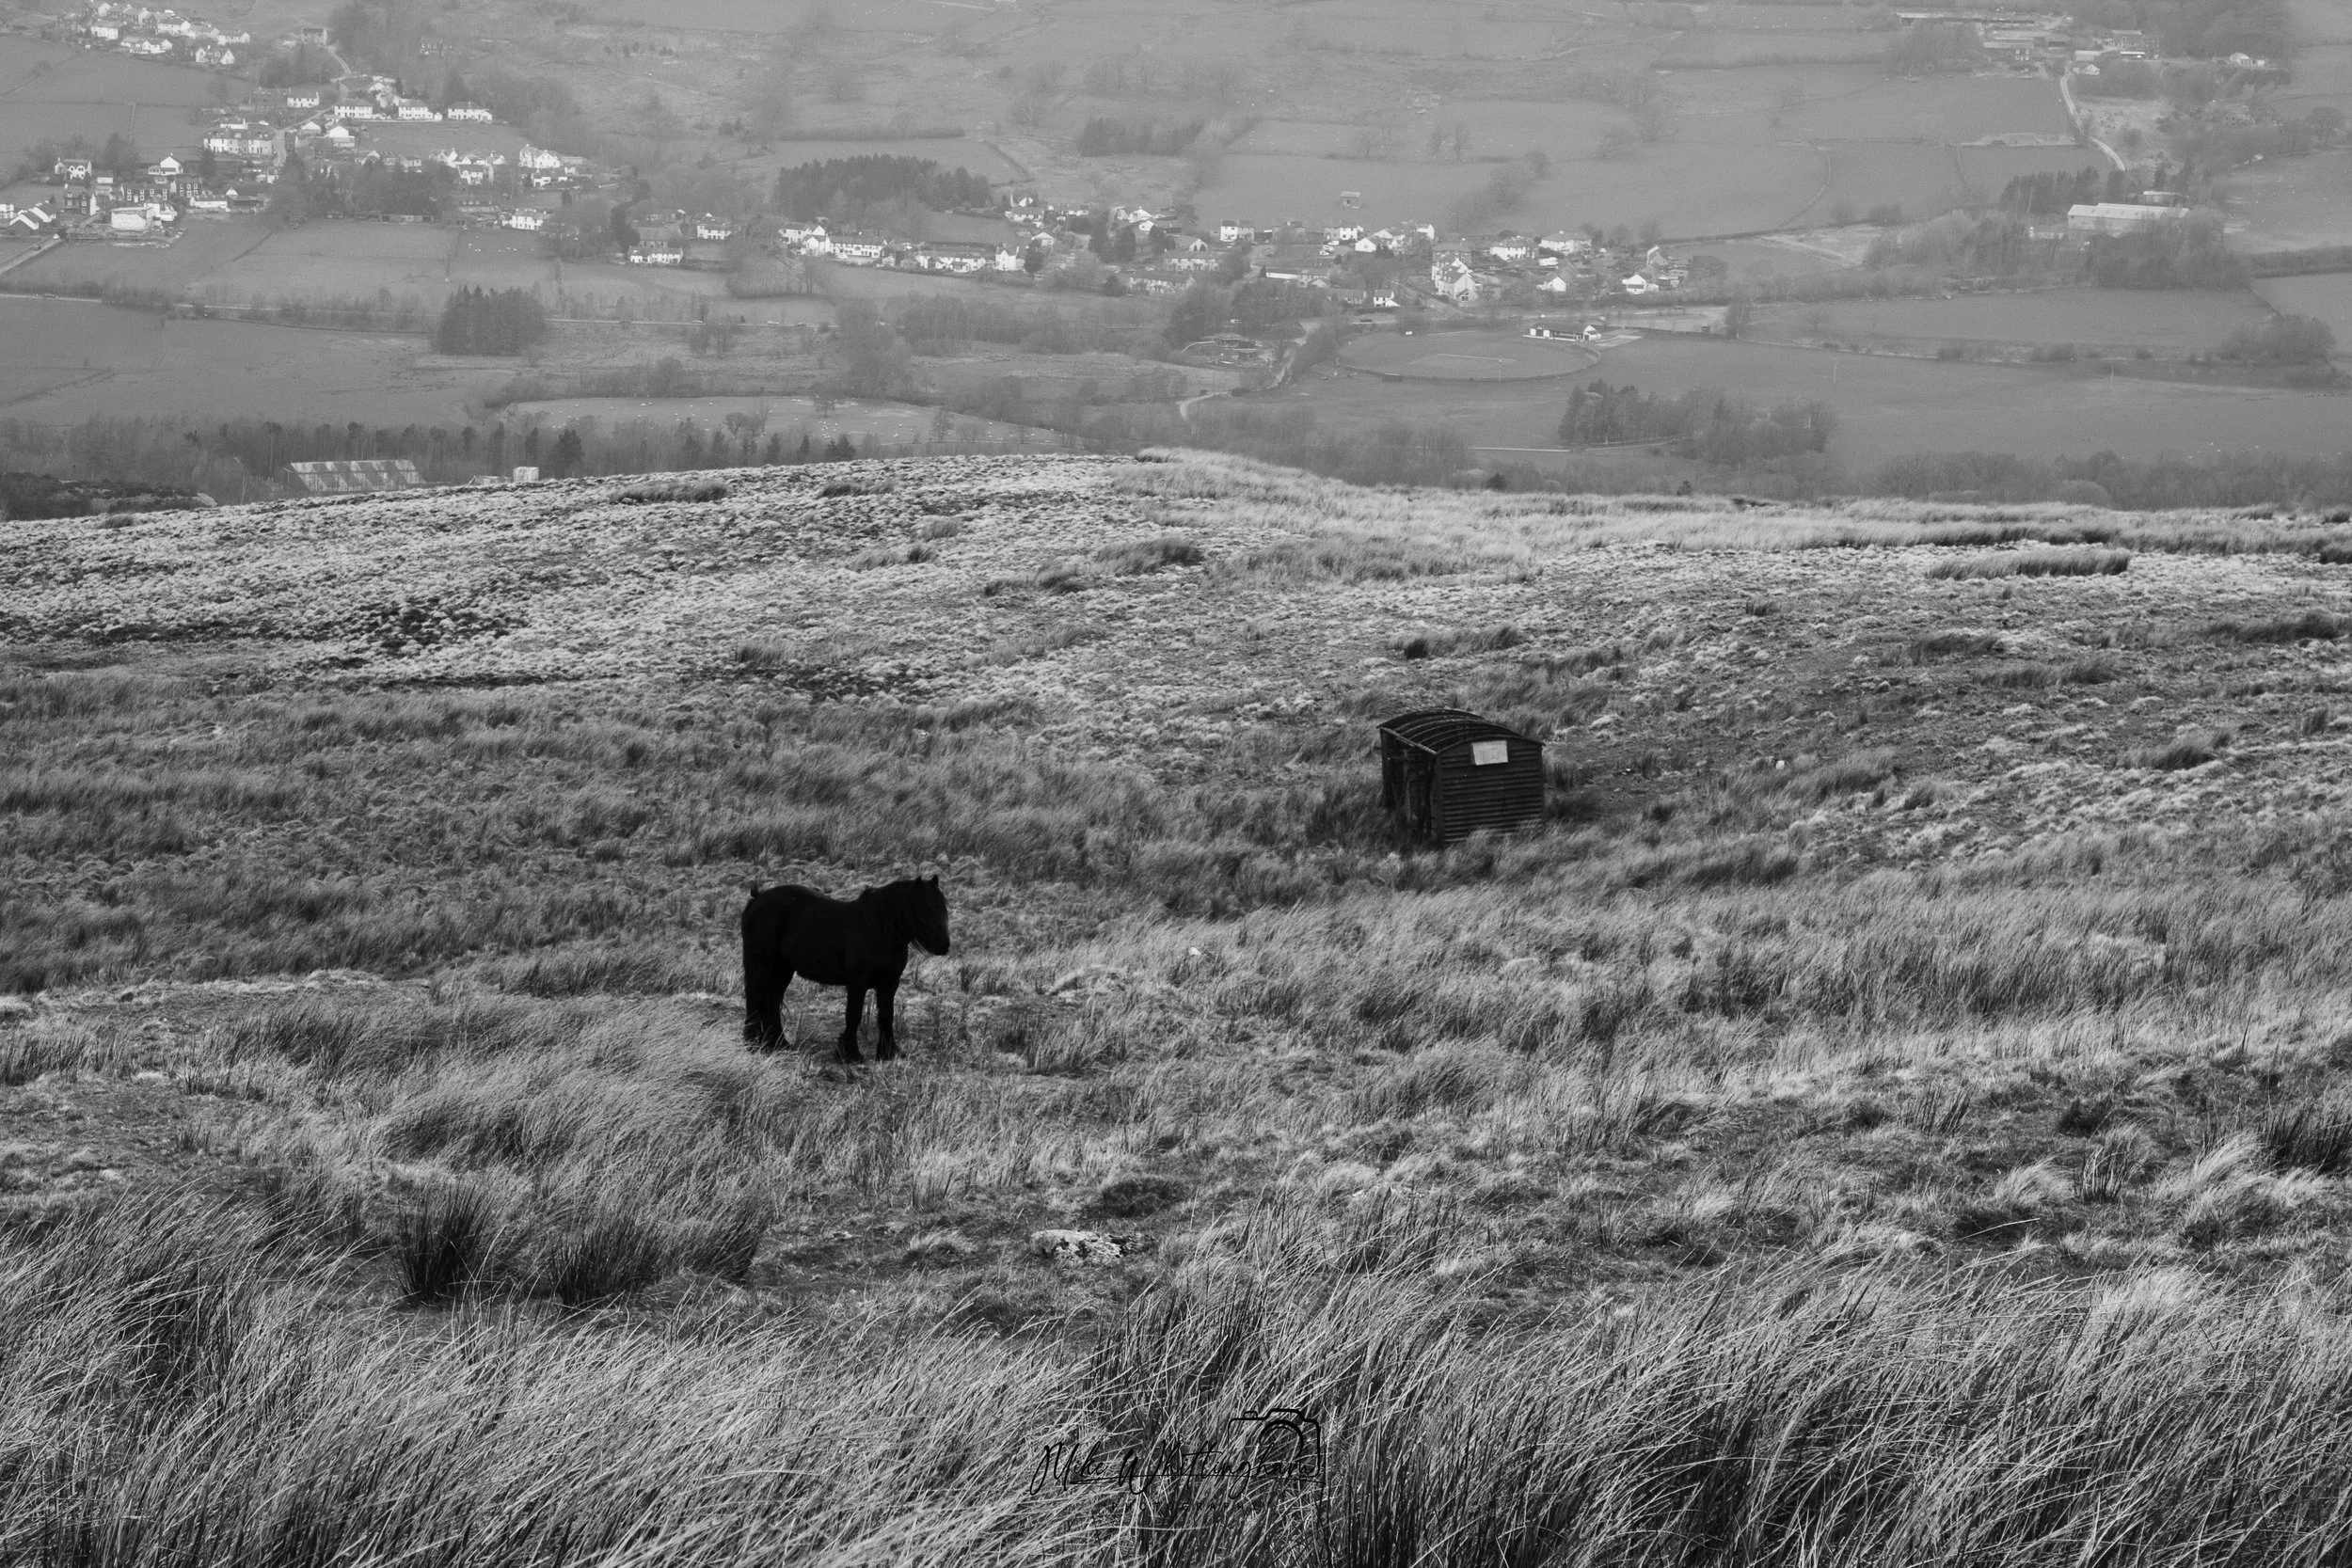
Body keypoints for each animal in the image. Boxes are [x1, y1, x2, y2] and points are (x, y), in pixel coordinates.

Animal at [741, 875, 950, 1064]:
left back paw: (778, 1043)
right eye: (924, 910)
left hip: (783, 969)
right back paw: (754, 1042)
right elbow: (853, 1016)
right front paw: (850, 1054)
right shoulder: (857, 984)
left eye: (943, 908)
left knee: (773, 1000)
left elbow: (886, 1017)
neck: (879, 929)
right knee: (756, 999)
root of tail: (757, 899)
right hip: (760, 965)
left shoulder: (889, 984)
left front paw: (888, 1053)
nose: (944, 946)